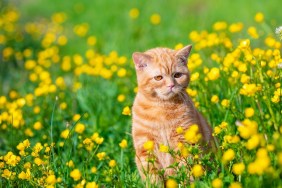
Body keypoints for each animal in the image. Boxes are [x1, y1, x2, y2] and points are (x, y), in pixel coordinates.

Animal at [131, 44, 213, 184]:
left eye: (177, 75)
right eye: (158, 78)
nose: (171, 85)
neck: (162, 108)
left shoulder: (185, 142)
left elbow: (186, 169)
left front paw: (187, 183)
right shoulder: (145, 148)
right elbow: (153, 177)